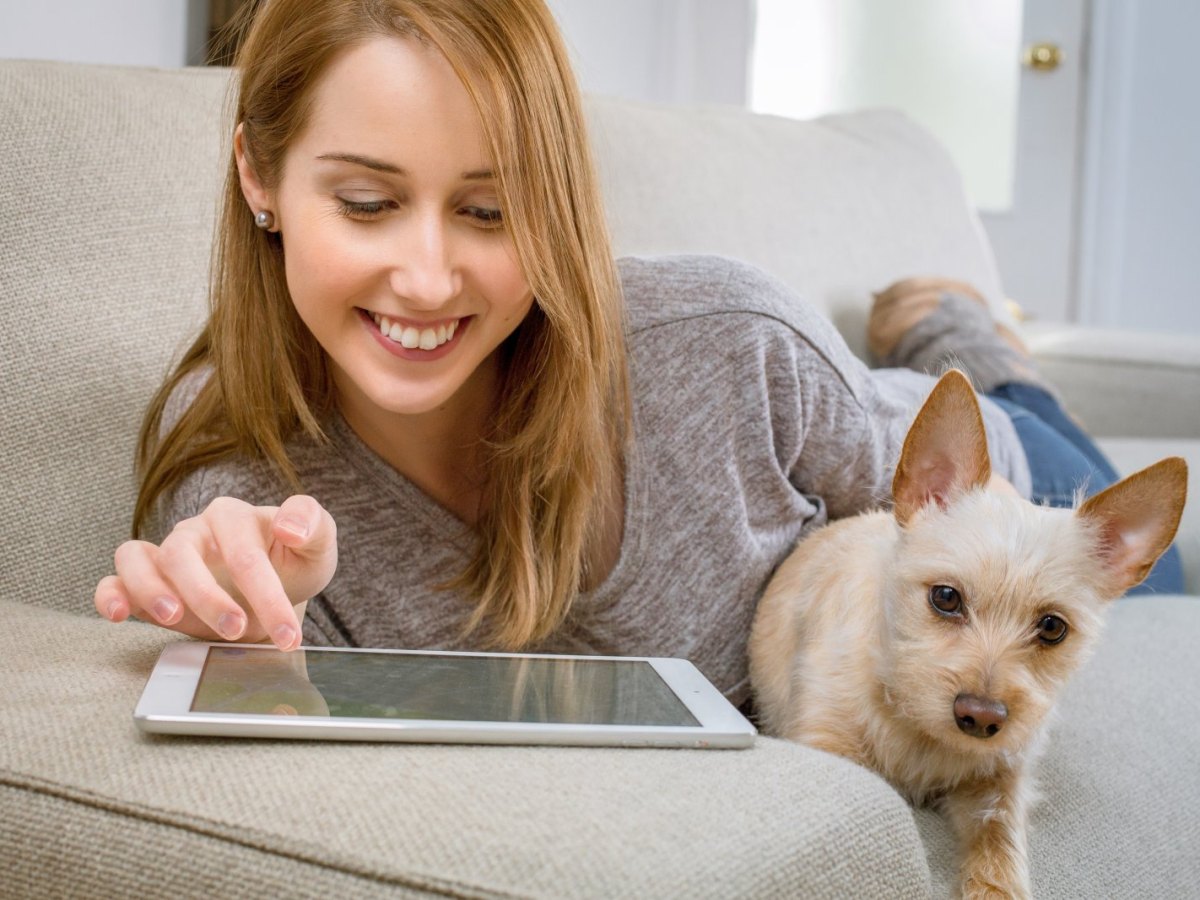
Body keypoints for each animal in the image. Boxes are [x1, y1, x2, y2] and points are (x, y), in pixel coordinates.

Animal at [748, 369, 1190, 897]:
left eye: (1052, 627)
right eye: (945, 597)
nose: (981, 717)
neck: (917, 727)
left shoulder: (1001, 781)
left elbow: (998, 844)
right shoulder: (826, 740)